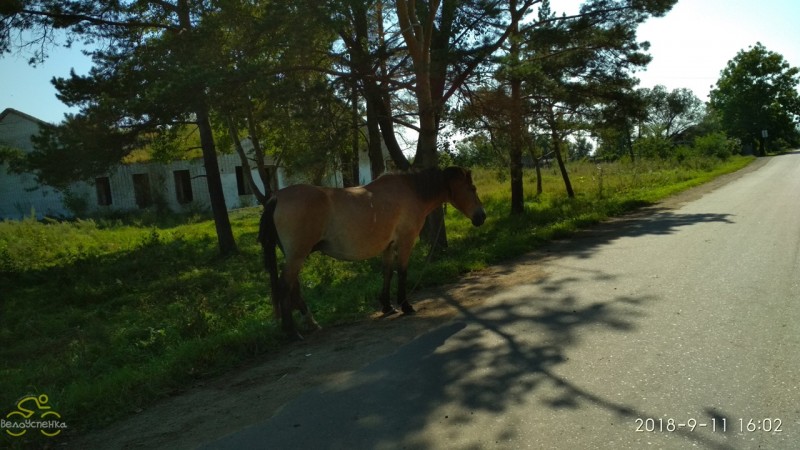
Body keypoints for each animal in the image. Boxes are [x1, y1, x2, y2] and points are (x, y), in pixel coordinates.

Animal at [260, 167, 488, 340]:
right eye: (472, 188)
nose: (482, 216)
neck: (412, 191)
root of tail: (277, 197)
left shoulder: (388, 246)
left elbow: (387, 272)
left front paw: (387, 305)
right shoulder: (405, 241)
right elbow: (402, 272)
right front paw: (405, 305)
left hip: (294, 256)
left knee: (294, 287)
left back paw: (311, 323)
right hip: (297, 256)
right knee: (285, 286)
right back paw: (292, 332)